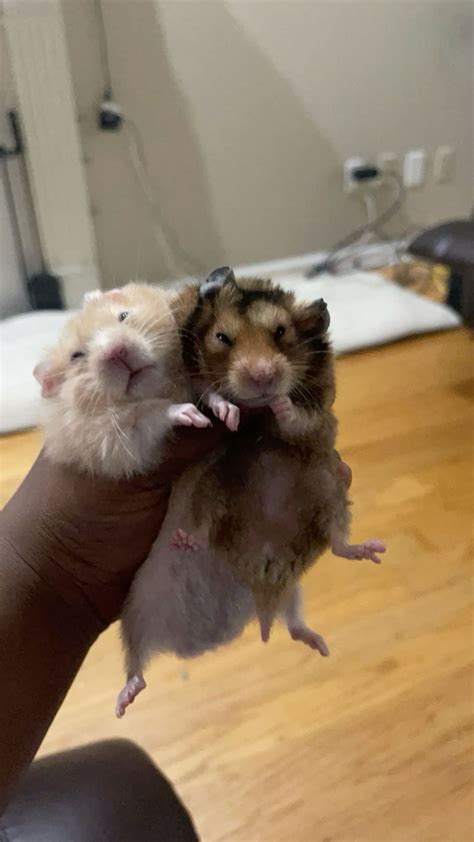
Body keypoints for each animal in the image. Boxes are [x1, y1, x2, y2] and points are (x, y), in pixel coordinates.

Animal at [34, 282, 211, 479]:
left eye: (123, 316)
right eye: (76, 356)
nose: (116, 352)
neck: (159, 388)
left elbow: (204, 387)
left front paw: (224, 410)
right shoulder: (117, 443)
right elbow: (153, 414)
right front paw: (196, 417)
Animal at [116, 269, 385, 716]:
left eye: (281, 332)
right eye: (221, 337)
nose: (263, 378)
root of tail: (264, 581)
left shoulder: (314, 419)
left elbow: (297, 419)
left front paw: (279, 402)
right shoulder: (190, 381)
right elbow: (206, 392)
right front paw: (227, 411)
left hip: (327, 489)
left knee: (329, 556)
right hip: (213, 490)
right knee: (137, 661)